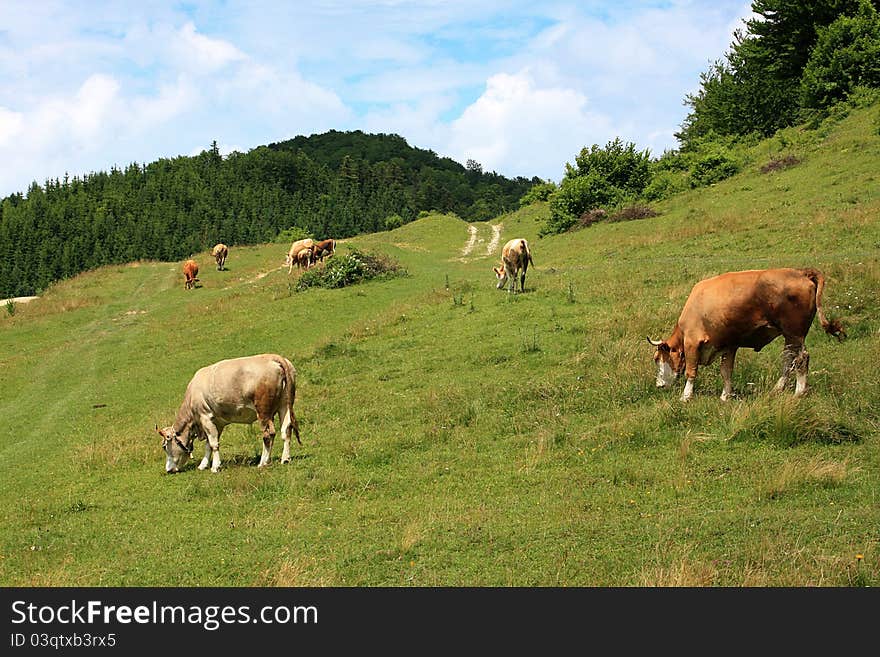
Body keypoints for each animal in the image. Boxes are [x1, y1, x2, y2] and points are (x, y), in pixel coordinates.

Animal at [153, 354, 300, 472]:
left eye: (164, 446)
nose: (168, 470)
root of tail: (273, 357)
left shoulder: (205, 417)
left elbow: (213, 444)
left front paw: (215, 467)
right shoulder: (217, 422)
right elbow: (209, 444)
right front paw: (203, 465)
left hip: (263, 412)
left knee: (268, 434)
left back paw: (263, 462)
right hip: (284, 405)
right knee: (286, 430)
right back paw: (285, 458)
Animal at [648, 268, 844, 402]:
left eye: (657, 358)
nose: (658, 385)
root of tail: (801, 272)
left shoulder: (692, 342)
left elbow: (691, 372)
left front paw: (686, 396)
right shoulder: (728, 345)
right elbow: (726, 371)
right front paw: (725, 396)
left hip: (794, 333)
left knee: (801, 358)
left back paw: (799, 392)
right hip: (791, 337)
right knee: (789, 360)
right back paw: (778, 389)